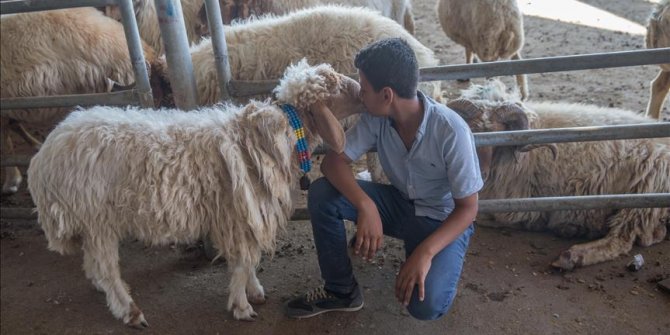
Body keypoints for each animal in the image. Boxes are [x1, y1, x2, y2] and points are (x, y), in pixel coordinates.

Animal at [26, 59, 364, 326]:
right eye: (335, 87)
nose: (361, 88)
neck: (278, 134)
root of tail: (44, 157)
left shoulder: (244, 217)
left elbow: (249, 259)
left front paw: (254, 291)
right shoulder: (238, 214)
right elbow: (242, 261)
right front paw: (241, 305)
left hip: (89, 222)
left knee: (93, 262)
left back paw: (102, 289)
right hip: (96, 218)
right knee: (107, 268)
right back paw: (128, 309)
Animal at [448, 80, 668, 272]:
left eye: (500, 135)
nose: (480, 175)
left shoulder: (518, 207)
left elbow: (481, 217)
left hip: (642, 196)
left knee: (621, 239)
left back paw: (573, 256)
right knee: (651, 235)